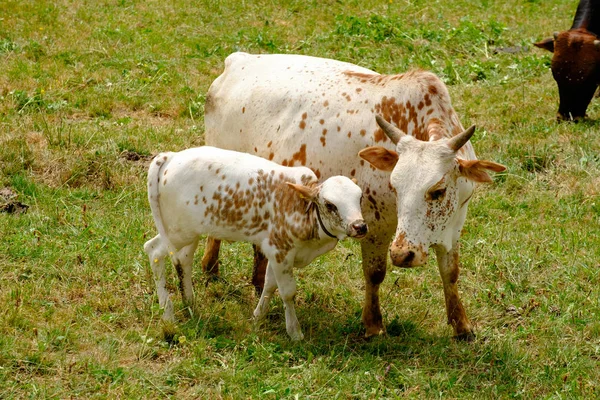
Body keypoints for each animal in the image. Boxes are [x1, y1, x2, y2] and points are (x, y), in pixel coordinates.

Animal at [144, 145, 368, 340]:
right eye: (330, 205)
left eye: (360, 198)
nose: (359, 226)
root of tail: (170, 156)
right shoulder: (280, 251)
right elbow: (288, 292)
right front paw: (294, 332)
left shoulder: (277, 255)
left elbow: (269, 285)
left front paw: (257, 317)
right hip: (176, 232)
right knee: (153, 251)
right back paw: (167, 311)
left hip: (190, 232)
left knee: (184, 260)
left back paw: (189, 302)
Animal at [203, 52, 506, 340]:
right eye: (395, 186)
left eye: (438, 191)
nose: (402, 254)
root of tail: (238, 60)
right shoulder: (376, 227)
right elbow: (375, 273)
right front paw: (373, 324)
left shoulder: (454, 225)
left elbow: (450, 273)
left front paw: (462, 326)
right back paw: (210, 268)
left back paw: (256, 281)